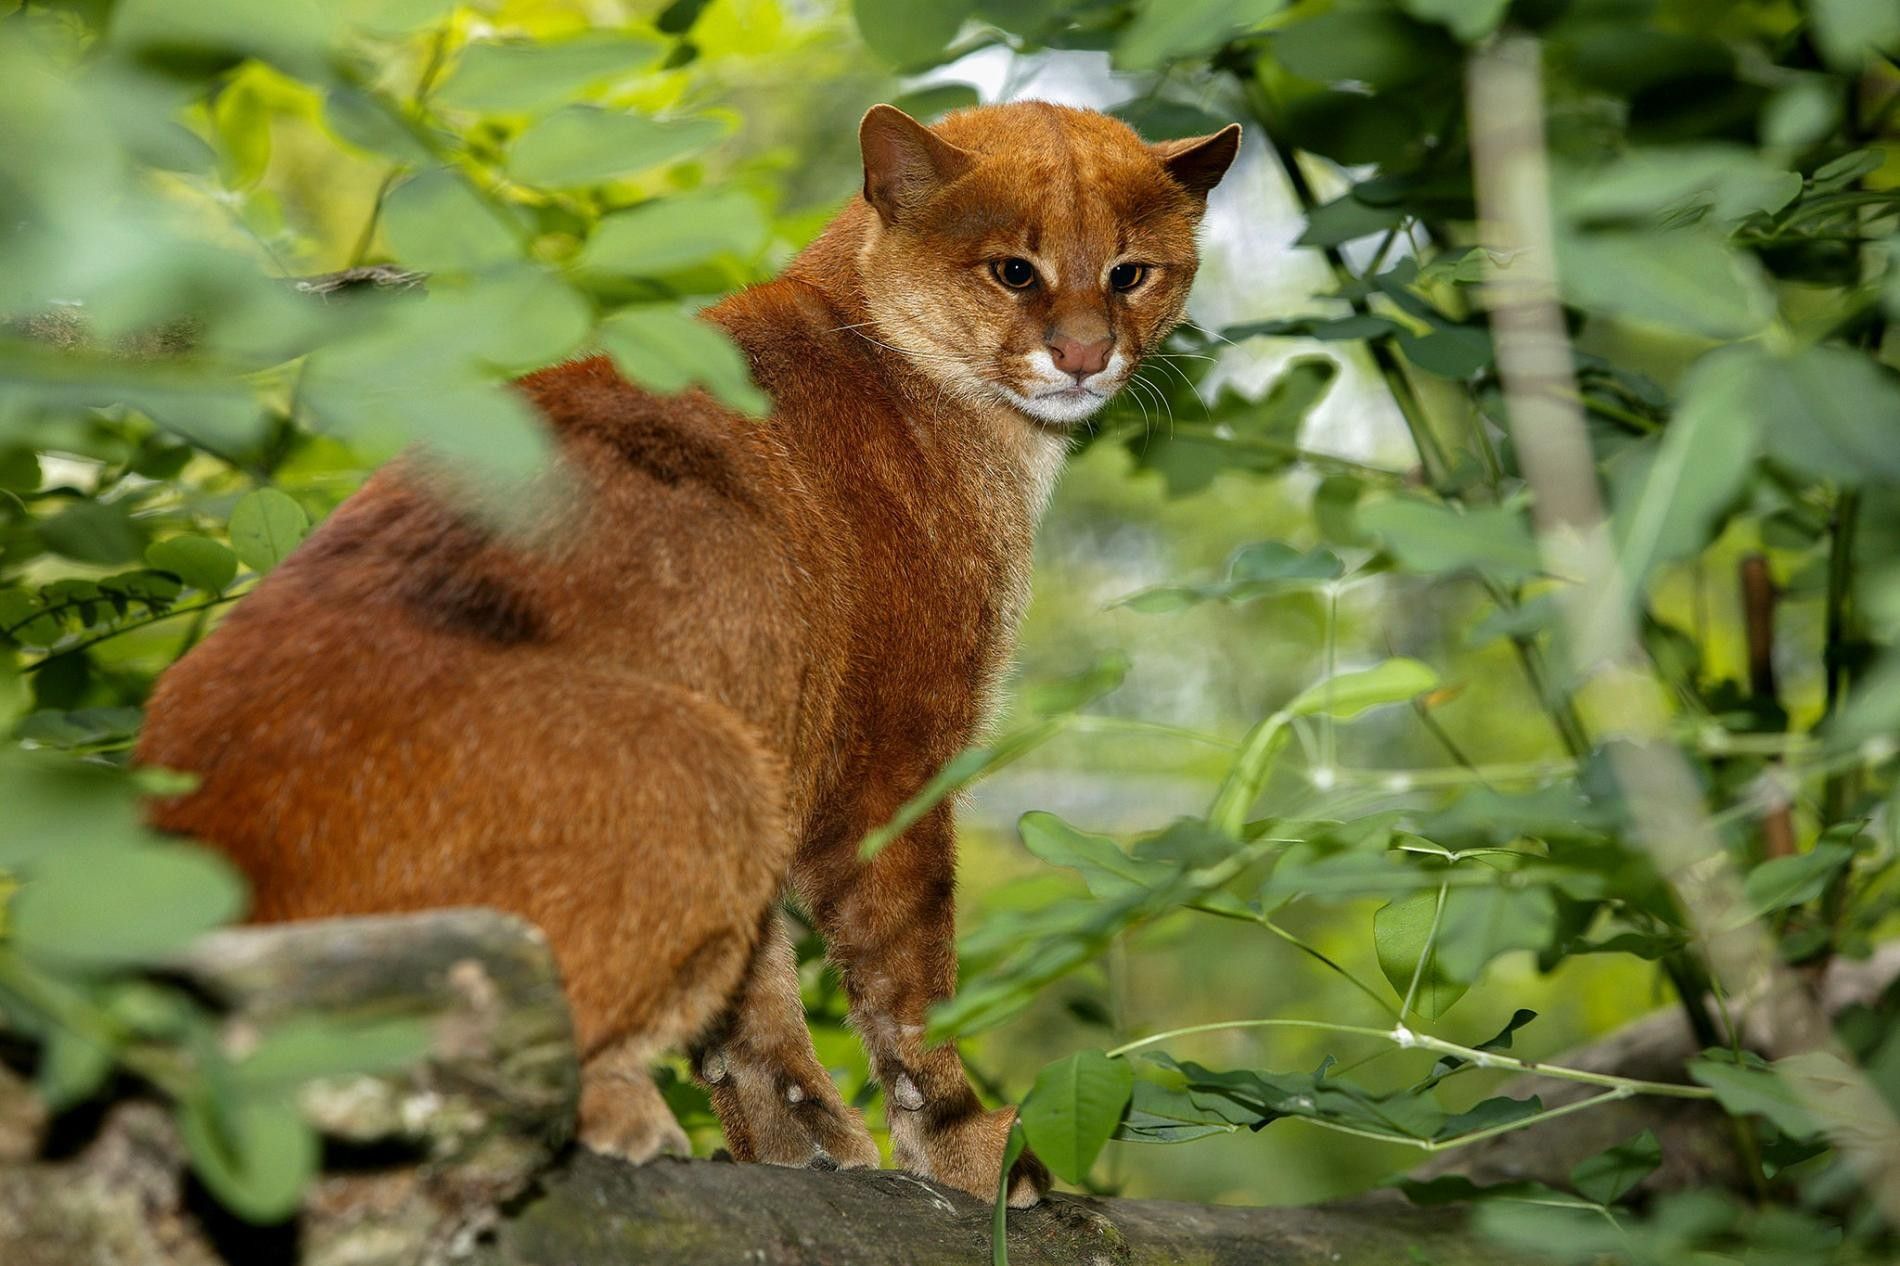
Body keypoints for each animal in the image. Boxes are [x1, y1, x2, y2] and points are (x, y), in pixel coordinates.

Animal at [137, 101, 1231, 1201]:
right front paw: (970, 1154)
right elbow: (911, 987)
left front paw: (798, 1144)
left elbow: (754, 1002)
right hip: (705, 759)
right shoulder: (891, 763)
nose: (1085, 356)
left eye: (1130, 272)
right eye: (1012, 269)